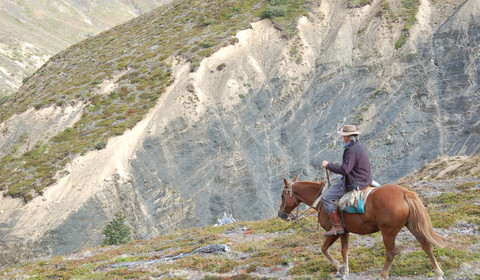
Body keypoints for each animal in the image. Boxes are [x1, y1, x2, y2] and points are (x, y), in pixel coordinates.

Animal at [278, 178, 446, 278]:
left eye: (282, 195)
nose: (281, 214)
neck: (321, 200)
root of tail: (405, 193)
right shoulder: (345, 232)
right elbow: (344, 250)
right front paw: (344, 269)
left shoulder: (335, 232)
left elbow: (325, 249)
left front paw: (340, 268)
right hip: (412, 225)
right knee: (425, 245)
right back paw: (438, 272)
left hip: (388, 232)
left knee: (391, 252)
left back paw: (383, 274)